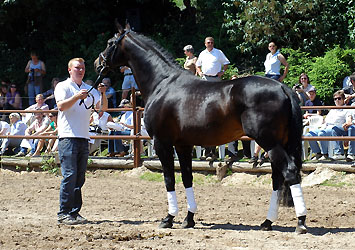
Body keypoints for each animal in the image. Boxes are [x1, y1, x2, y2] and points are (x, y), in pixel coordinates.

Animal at [95, 23, 308, 234]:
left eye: (110, 42)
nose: (98, 63)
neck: (162, 83)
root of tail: (283, 88)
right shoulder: (183, 145)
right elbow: (187, 178)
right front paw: (189, 219)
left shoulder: (162, 143)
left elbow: (169, 179)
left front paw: (168, 218)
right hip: (278, 143)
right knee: (277, 178)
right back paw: (267, 222)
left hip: (269, 143)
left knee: (289, 172)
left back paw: (300, 223)